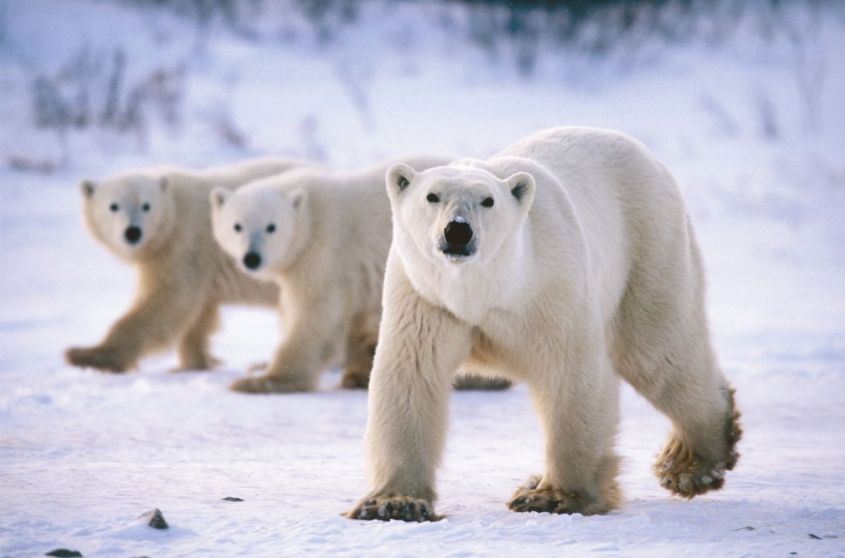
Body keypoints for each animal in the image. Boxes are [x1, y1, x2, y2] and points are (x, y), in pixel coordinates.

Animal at [65, 157, 307, 373]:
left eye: (146, 205)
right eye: (113, 206)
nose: (132, 232)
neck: (174, 210)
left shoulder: (183, 243)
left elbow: (168, 299)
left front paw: (85, 355)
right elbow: (199, 313)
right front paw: (195, 362)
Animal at [210, 156, 457, 393]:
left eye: (271, 227)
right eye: (237, 226)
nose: (251, 257)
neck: (308, 215)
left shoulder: (326, 252)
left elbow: (314, 314)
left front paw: (261, 381)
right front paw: (358, 373)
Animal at [346, 127, 742, 522]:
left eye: (488, 201)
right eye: (432, 196)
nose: (458, 231)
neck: (487, 289)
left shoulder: (550, 288)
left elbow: (570, 373)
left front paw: (554, 496)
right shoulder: (425, 298)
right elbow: (411, 376)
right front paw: (394, 502)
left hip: (648, 245)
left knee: (655, 351)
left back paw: (691, 463)